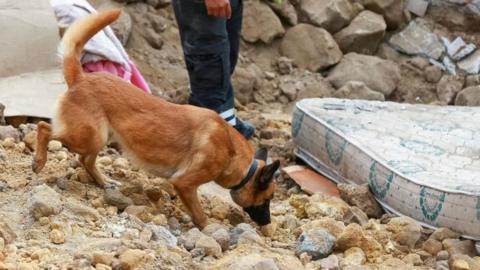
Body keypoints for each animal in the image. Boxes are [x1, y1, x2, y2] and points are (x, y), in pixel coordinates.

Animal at [31, 8, 280, 228]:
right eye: (268, 198)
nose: (267, 224)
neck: (232, 153)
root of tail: (81, 78)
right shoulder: (184, 183)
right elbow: (200, 215)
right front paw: (209, 229)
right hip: (88, 137)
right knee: (44, 127)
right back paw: (39, 161)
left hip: (99, 138)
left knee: (85, 160)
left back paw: (103, 182)